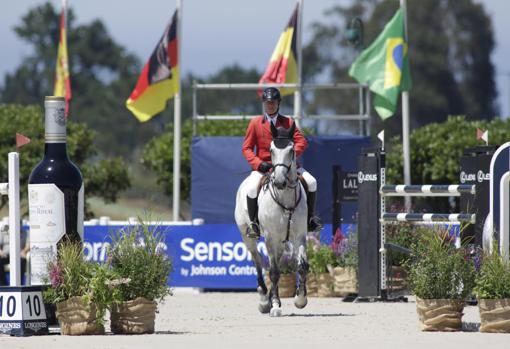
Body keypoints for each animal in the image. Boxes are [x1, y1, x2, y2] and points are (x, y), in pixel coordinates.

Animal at [234, 122, 308, 316]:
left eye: (292, 150)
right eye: (271, 150)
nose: (280, 182)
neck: (285, 196)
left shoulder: (300, 236)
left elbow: (302, 266)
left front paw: (300, 299)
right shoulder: (269, 236)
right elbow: (273, 271)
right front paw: (274, 305)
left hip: (281, 240)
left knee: (278, 262)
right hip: (248, 237)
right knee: (258, 261)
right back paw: (263, 299)